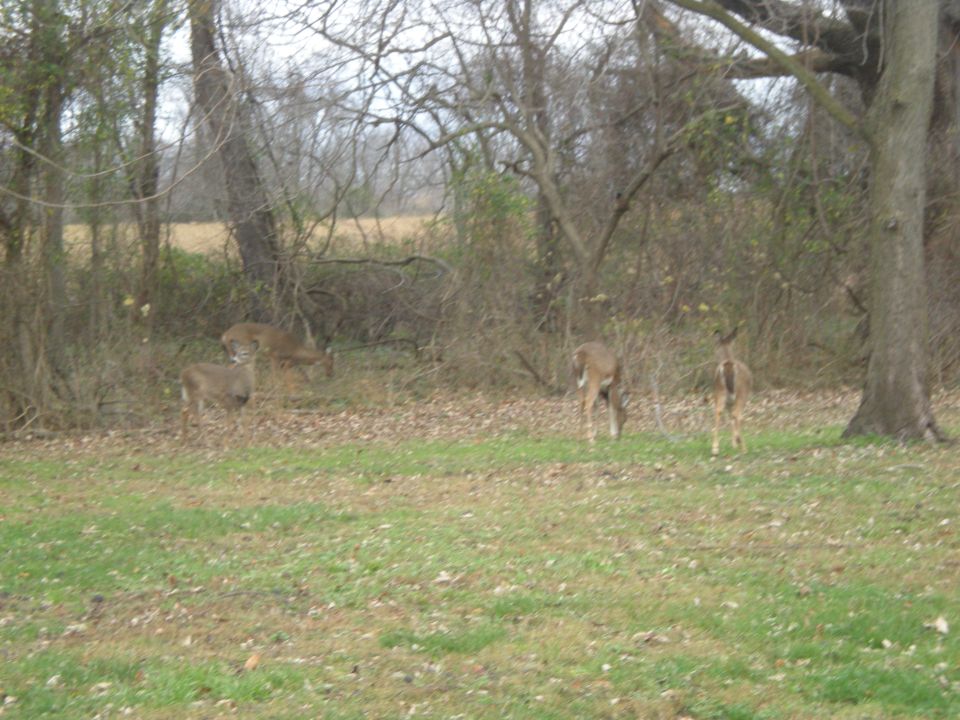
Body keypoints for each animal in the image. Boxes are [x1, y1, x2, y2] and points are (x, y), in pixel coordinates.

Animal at [711, 326, 752, 456]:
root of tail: (728, 364)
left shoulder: (728, 401)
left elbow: (729, 419)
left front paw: (734, 444)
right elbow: (735, 418)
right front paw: (736, 442)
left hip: (719, 391)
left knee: (718, 412)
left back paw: (715, 449)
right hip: (741, 392)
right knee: (737, 414)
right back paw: (744, 448)